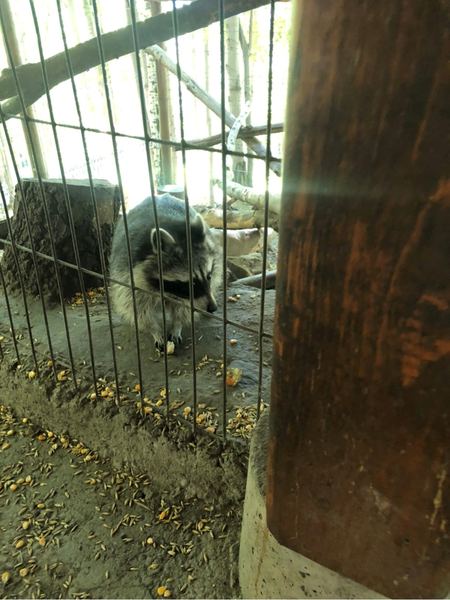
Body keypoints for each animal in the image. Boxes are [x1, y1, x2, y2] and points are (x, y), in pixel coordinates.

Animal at [109, 193, 222, 348]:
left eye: (208, 276)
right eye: (191, 283)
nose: (213, 307)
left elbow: (184, 308)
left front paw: (177, 324)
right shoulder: (127, 272)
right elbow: (137, 308)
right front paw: (154, 330)